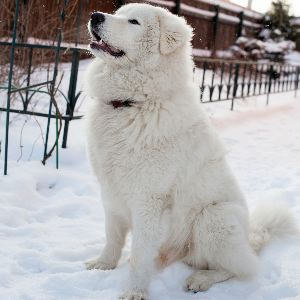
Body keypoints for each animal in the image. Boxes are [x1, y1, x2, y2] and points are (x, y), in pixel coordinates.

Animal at [83, 2, 298, 300]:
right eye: (118, 13)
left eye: (134, 22)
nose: (95, 16)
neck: (133, 103)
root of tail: (251, 239)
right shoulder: (111, 190)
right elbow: (112, 237)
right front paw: (104, 265)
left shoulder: (149, 200)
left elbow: (140, 256)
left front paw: (134, 292)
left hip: (214, 219)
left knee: (241, 269)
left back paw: (200, 280)